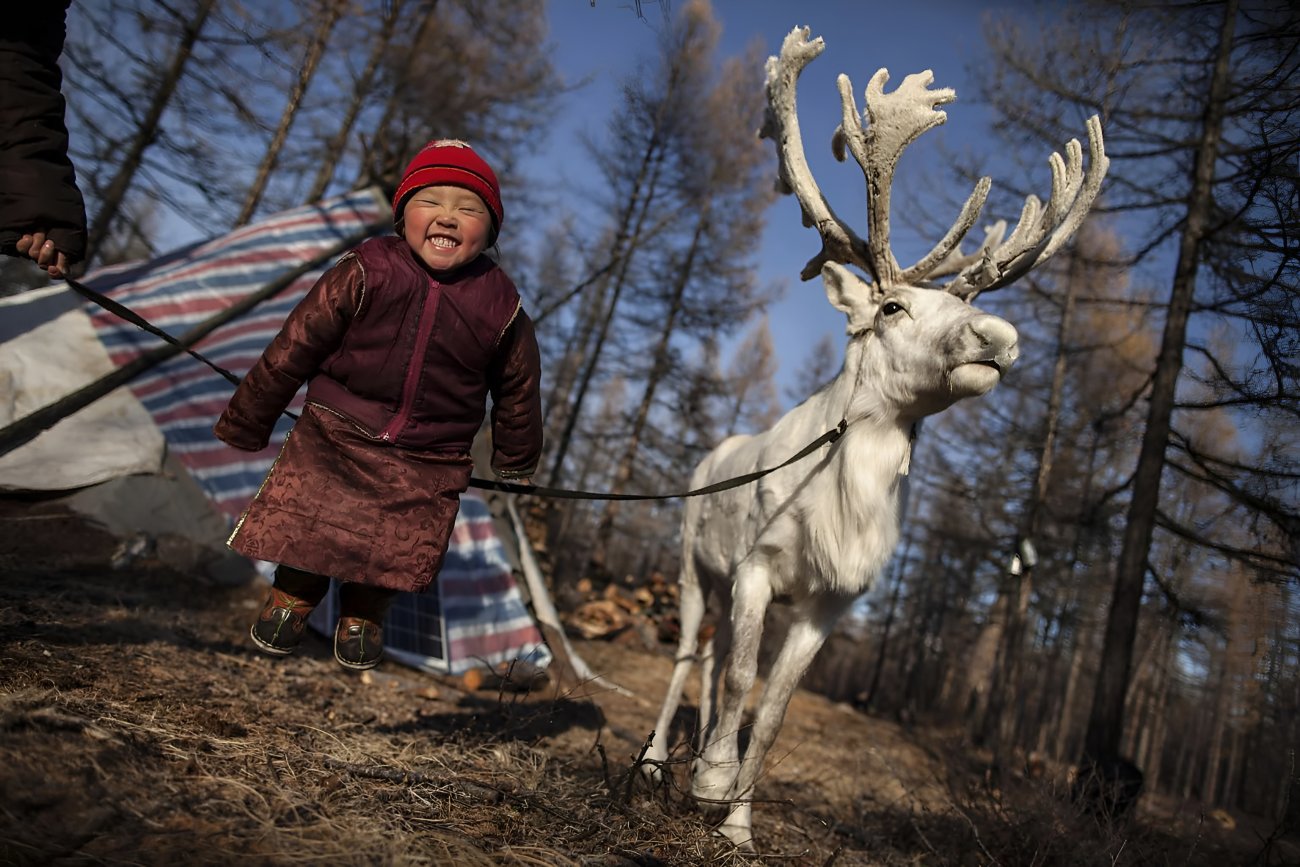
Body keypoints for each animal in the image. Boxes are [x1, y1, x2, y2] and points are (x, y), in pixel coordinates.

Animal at [644, 26, 1108, 850]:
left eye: (965, 307)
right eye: (891, 306)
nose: (1000, 336)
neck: (844, 493)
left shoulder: (830, 601)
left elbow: (774, 709)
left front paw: (738, 824)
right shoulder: (758, 564)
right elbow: (740, 677)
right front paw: (711, 783)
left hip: (726, 583)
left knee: (712, 655)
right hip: (698, 566)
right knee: (689, 653)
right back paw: (655, 760)